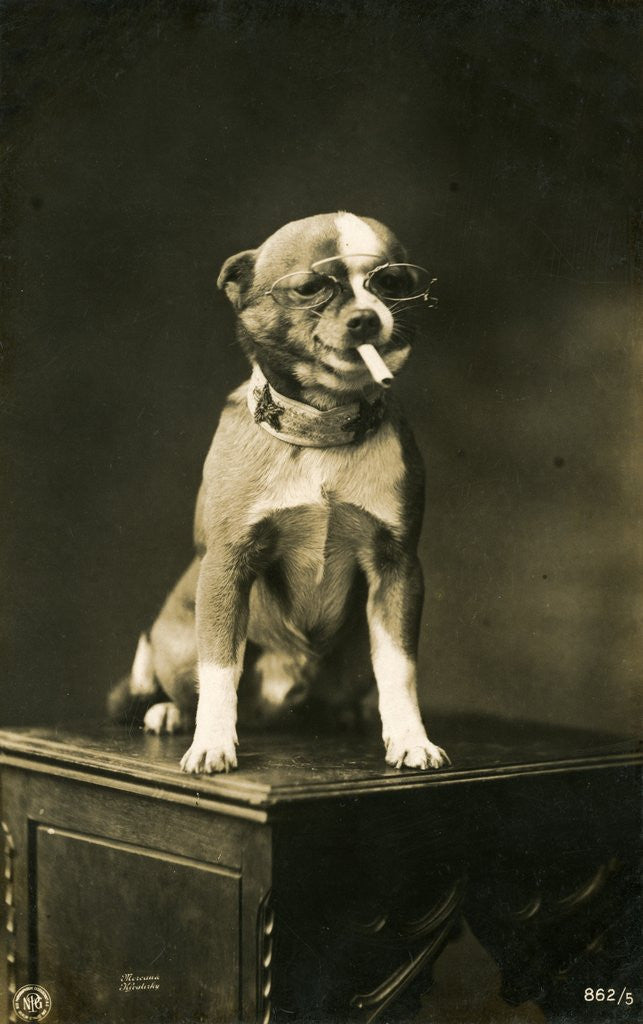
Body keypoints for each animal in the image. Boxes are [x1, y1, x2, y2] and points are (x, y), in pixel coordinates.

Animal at [108, 216, 450, 774]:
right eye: (312, 288)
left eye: (392, 283)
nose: (365, 318)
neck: (322, 432)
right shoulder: (226, 567)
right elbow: (220, 667)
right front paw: (212, 743)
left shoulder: (397, 569)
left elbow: (399, 669)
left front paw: (409, 738)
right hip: (176, 642)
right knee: (181, 684)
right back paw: (168, 713)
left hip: (354, 654)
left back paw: (351, 715)